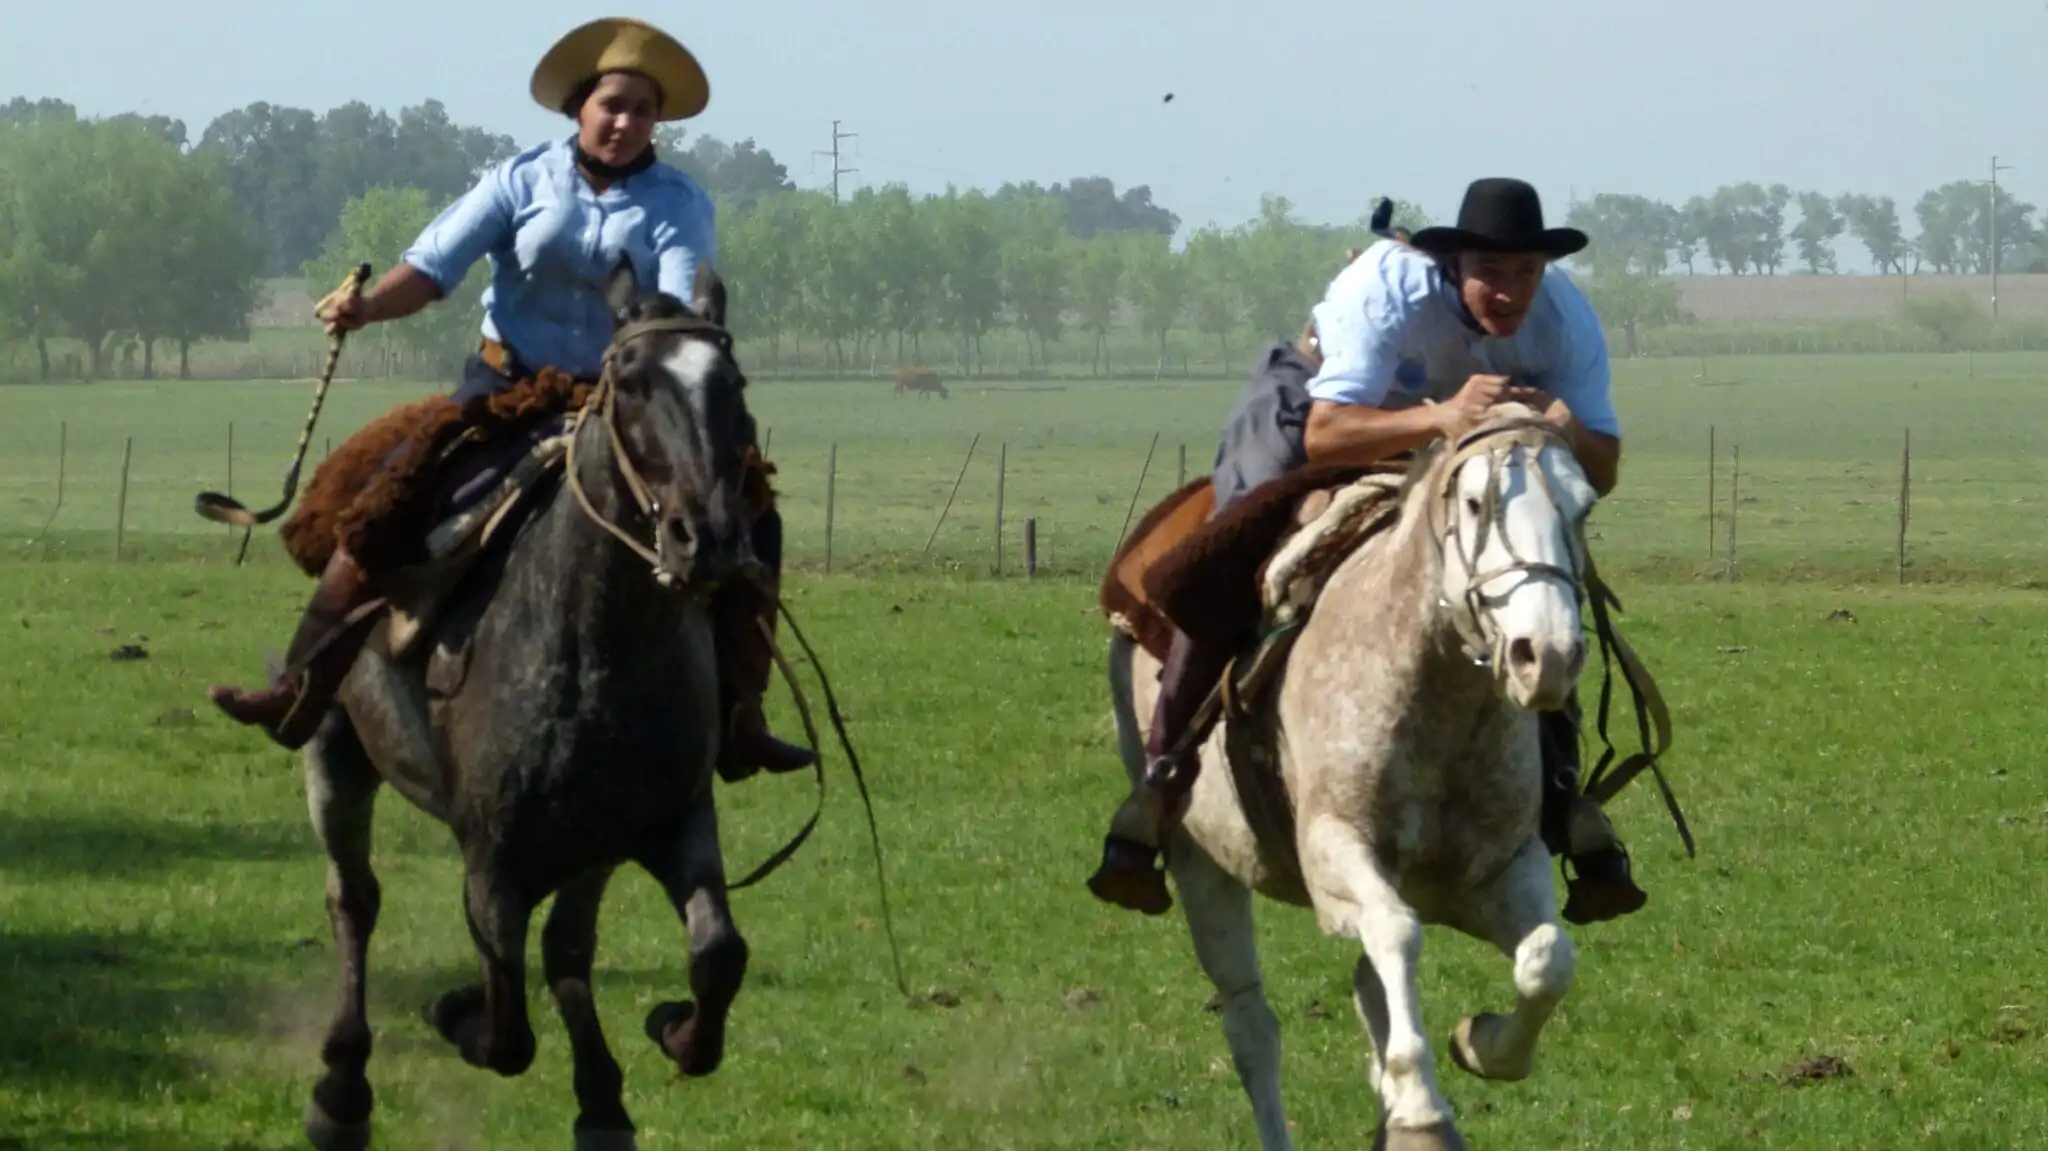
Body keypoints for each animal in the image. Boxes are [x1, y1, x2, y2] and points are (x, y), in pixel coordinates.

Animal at [294, 260, 761, 1146]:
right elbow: (506, 1024)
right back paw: (340, 1088)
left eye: (732, 383)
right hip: (335, 751)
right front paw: (453, 1010)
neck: (594, 648)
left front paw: (666, 1034)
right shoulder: (493, 860)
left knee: (567, 946)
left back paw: (601, 1099)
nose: (708, 537)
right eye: (631, 380)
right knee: (352, 898)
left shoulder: (656, 823)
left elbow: (714, 953)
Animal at [1105, 407, 1597, 1138]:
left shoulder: (1499, 870)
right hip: (1202, 863)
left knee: (1372, 989)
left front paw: (1479, 1043)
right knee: (1252, 1026)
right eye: (1476, 503)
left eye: (1583, 508)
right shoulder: (1336, 852)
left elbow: (1548, 960)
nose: (1550, 656)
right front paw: (1420, 1099)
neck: (1434, 698)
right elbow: (1397, 930)